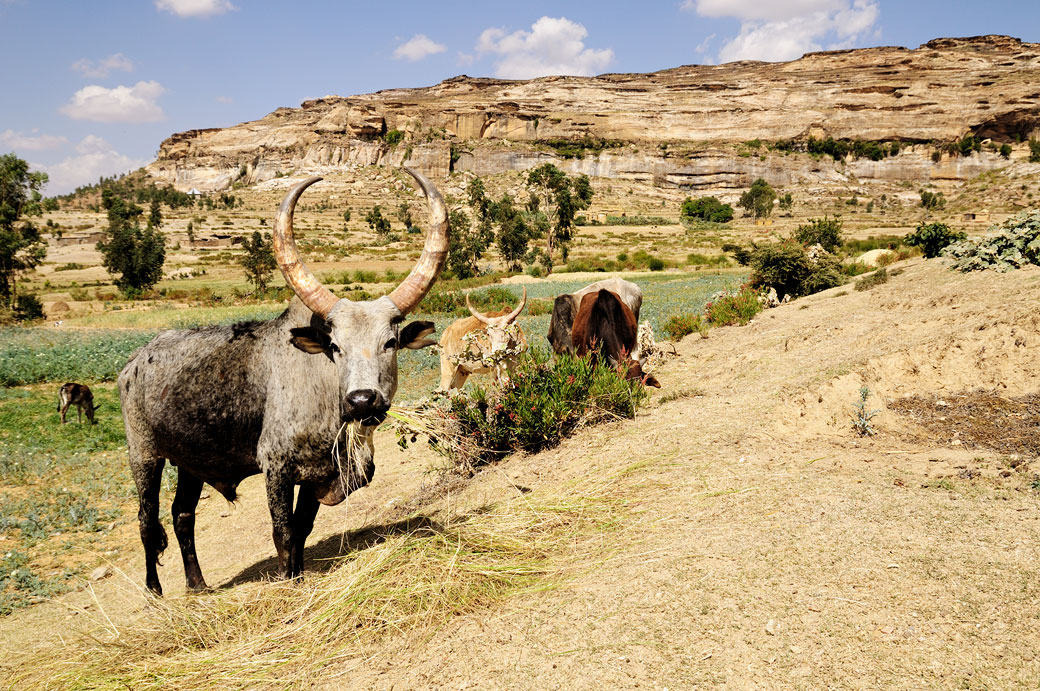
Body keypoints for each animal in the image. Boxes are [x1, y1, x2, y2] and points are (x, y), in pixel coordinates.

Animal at [119, 168, 449, 595]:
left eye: (390, 342)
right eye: (335, 347)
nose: (362, 400)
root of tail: (133, 363)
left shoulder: (318, 473)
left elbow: (302, 529)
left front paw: (300, 576)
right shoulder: (275, 467)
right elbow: (283, 532)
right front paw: (287, 584)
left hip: (190, 462)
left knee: (182, 516)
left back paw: (198, 586)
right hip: (144, 456)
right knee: (147, 521)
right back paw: (155, 592)